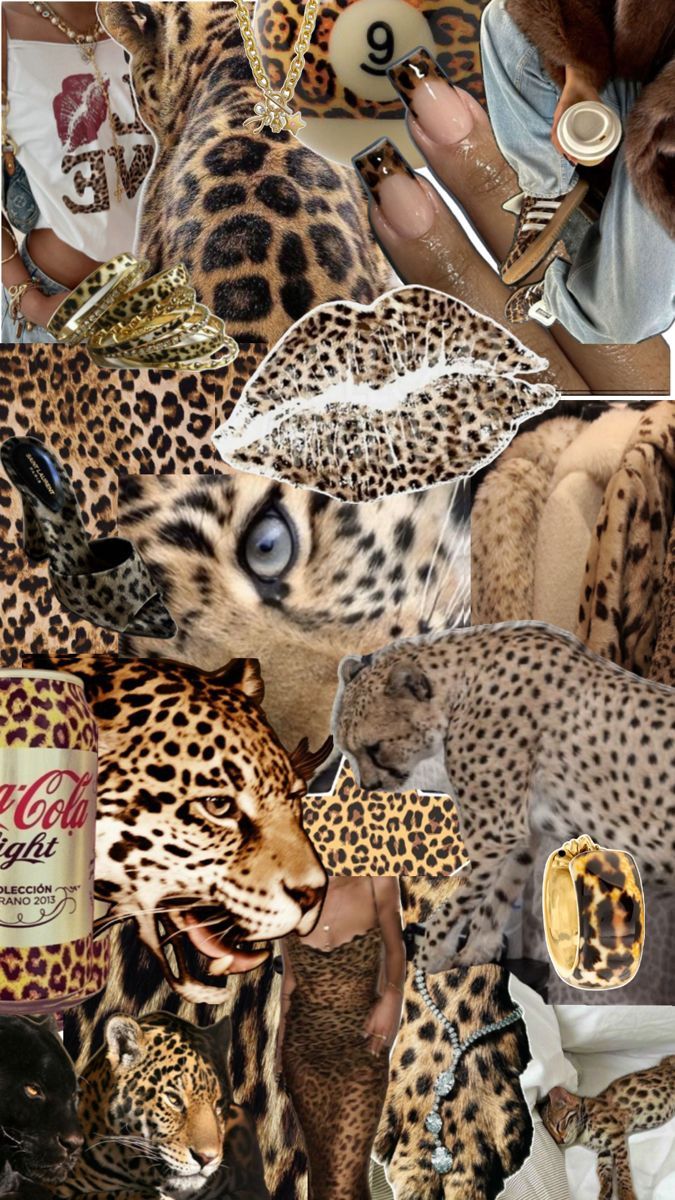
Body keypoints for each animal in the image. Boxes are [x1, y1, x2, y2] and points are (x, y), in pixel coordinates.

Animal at [333, 620, 675, 970]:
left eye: (375, 747)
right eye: (347, 749)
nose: (368, 786)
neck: (462, 682)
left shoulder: (493, 832)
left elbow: (457, 902)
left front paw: (428, 962)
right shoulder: (520, 831)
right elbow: (495, 898)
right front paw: (474, 955)